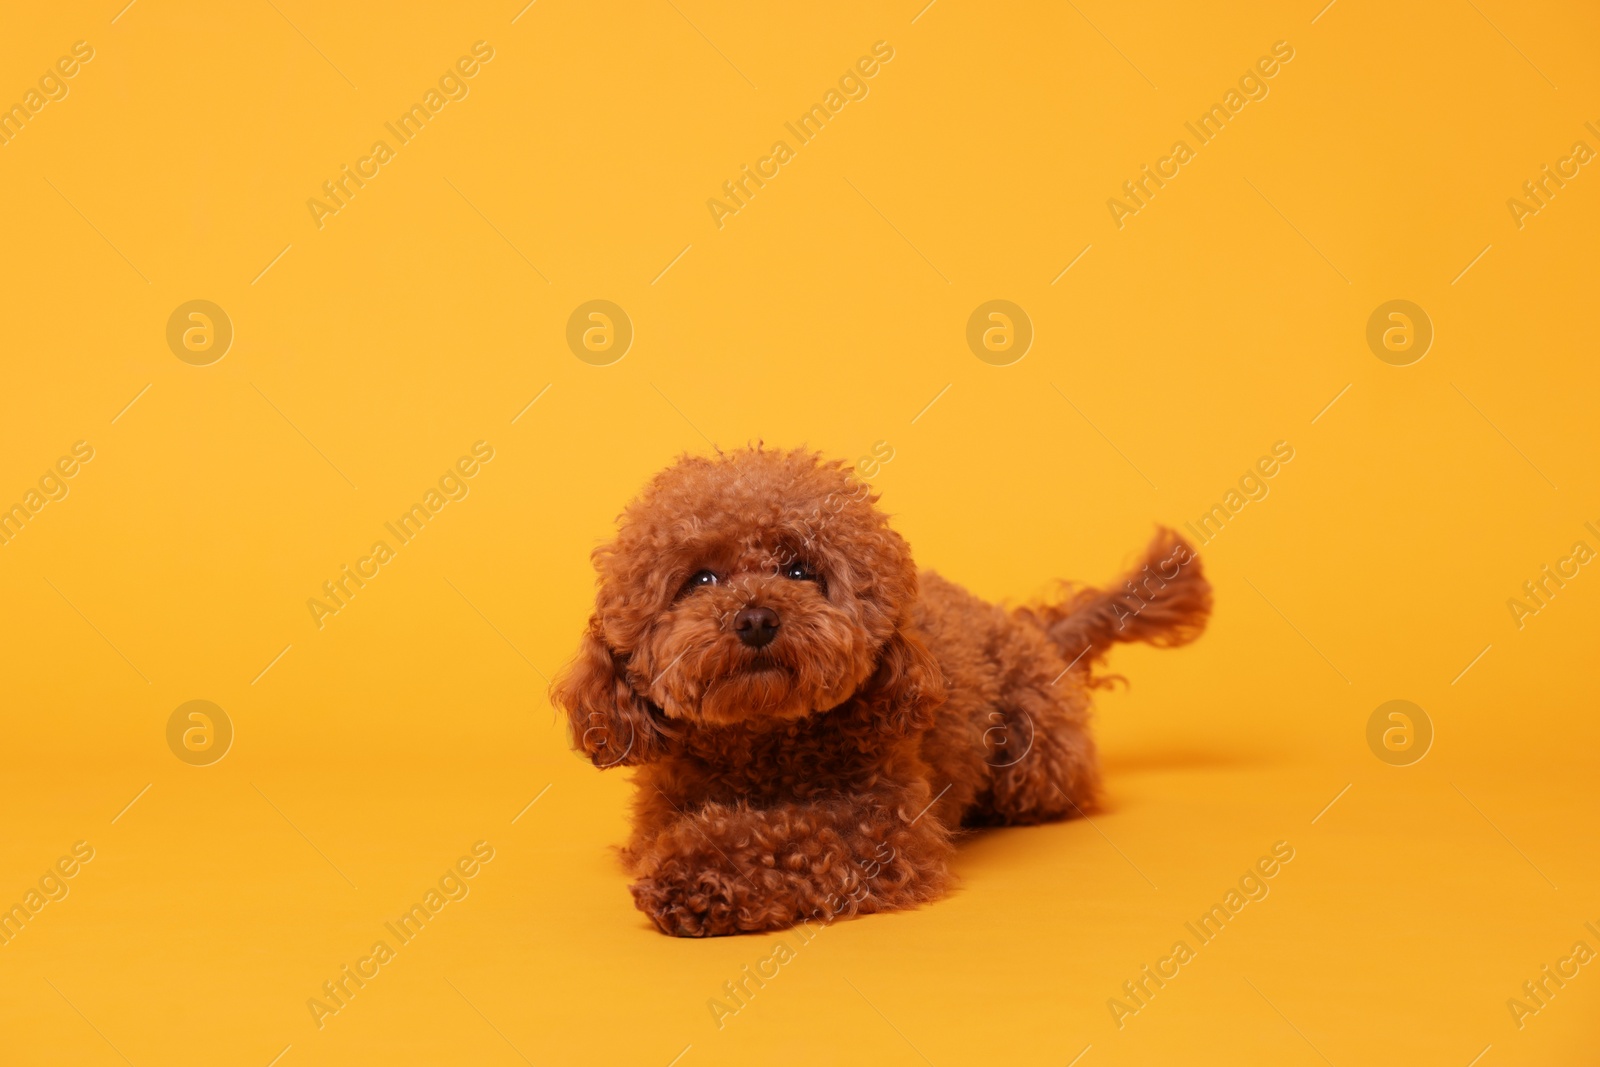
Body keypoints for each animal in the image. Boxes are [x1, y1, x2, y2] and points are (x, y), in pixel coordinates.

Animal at [553, 447, 1209, 940]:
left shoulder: (881, 828)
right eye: (700, 579)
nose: (757, 618)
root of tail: (1029, 628)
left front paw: (699, 876)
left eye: (800, 570)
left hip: (1033, 759)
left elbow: (794, 834)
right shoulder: (661, 816)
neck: (761, 747)